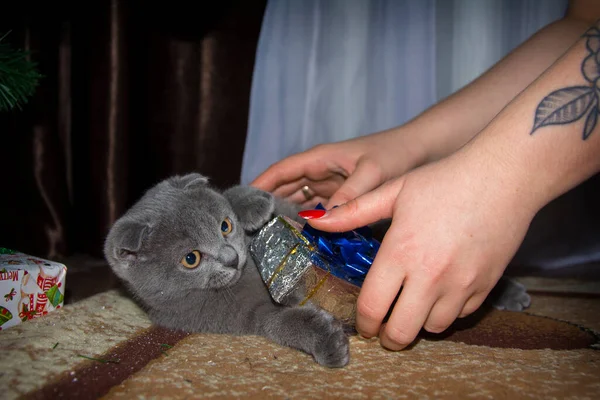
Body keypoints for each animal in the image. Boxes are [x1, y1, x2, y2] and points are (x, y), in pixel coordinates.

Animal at [105, 173, 350, 368]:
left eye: (225, 226)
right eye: (191, 259)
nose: (232, 259)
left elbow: (231, 194)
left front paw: (253, 204)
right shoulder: (235, 314)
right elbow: (278, 322)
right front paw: (328, 341)